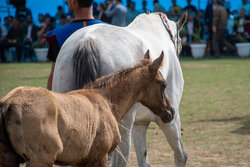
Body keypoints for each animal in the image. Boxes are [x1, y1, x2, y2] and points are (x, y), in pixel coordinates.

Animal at [0, 51, 175, 167]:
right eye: (163, 84)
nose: (170, 112)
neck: (106, 101)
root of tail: (9, 103)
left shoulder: (80, 162)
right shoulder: (101, 157)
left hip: (10, 160)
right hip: (41, 161)